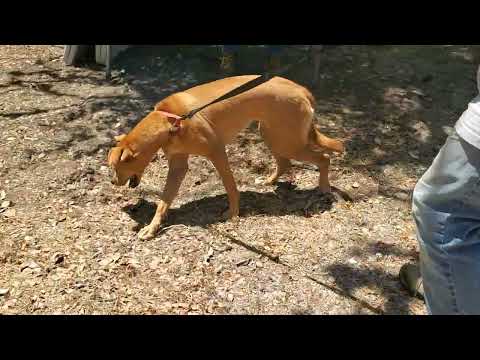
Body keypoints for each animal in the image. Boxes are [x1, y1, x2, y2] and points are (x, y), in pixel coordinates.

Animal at [107, 75, 344, 239]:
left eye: (115, 167)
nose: (111, 182)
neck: (170, 121)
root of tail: (301, 88)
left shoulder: (217, 152)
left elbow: (231, 187)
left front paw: (233, 214)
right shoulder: (178, 167)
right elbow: (163, 202)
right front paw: (152, 227)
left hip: (288, 141)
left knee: (324, 157)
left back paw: (324, 188)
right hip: (273, 136)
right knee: (285, 162)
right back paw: (269, 181)